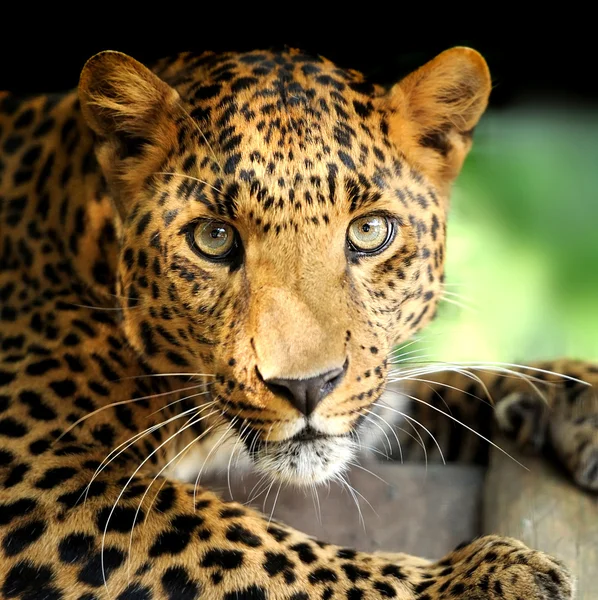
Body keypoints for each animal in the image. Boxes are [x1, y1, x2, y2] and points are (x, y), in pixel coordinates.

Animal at [0, 44, 596, 596]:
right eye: (214, 237)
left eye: (369, 231)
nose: (307, 387)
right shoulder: (40, 468)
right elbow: (246, 546)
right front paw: (480, 579)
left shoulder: (377, 396)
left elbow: (454, 382)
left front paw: (574, 396)